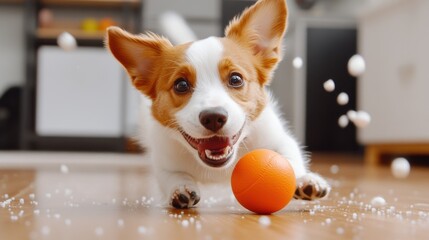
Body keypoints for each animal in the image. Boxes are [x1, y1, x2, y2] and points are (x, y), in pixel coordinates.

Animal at [105, 0, 330, 208]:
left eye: (236, 79)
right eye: (181, 85)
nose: (213, 117)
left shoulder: (278, 140)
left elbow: (289, 159)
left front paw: (303, 179)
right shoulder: (164, 162)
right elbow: (173, 176)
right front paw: (180, 188)